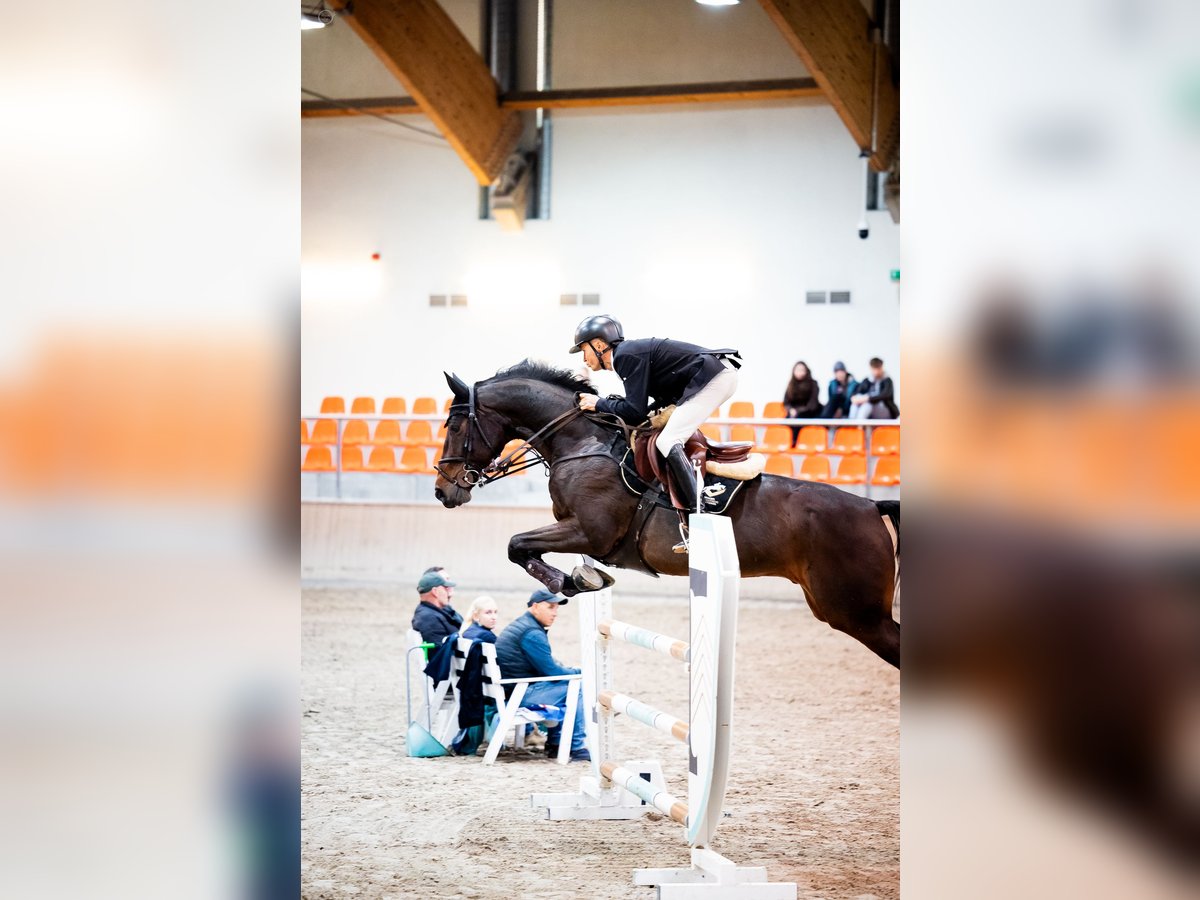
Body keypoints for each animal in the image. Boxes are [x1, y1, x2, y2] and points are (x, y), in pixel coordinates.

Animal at [434, 362, 902, 672]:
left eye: (454, 427)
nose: (443, 490)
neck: (581, 442)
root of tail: (871, 506)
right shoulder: (578, 532)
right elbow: (523, 547)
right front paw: (582, 578)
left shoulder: (591, 533)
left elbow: (517, 544)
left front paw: (570, 582)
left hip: (856, 613)